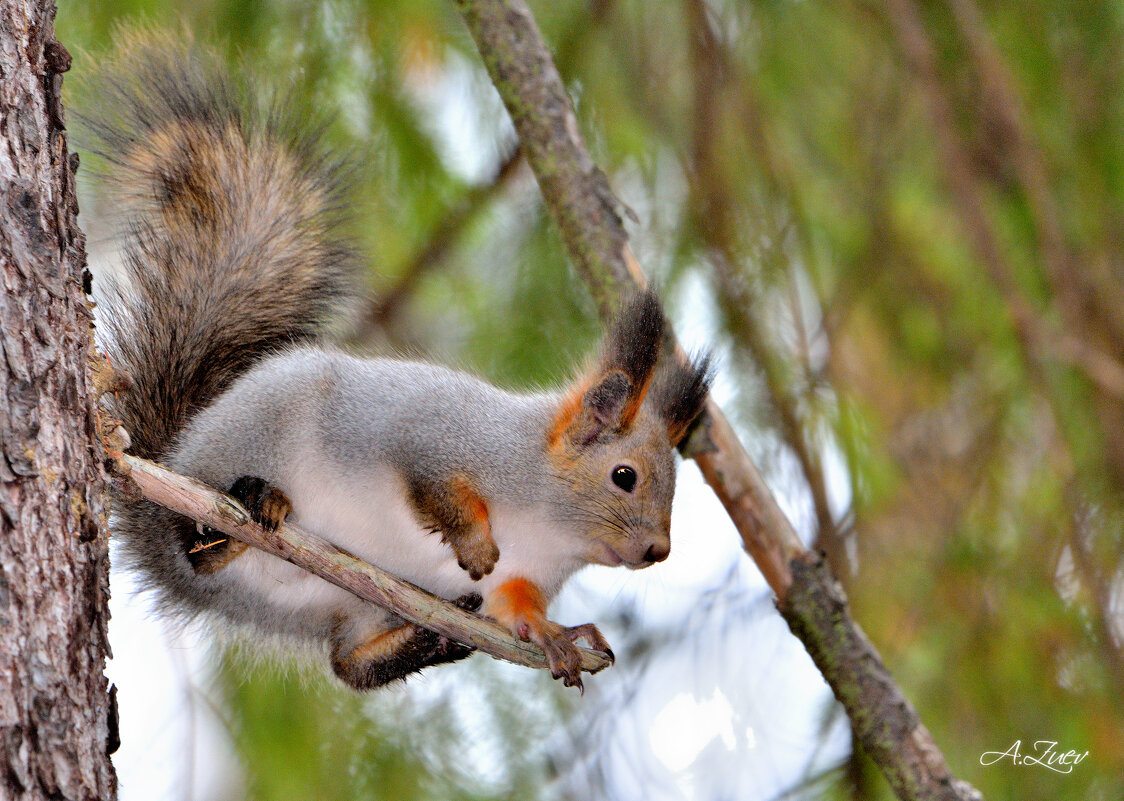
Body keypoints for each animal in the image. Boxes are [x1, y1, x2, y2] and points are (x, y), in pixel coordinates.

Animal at [85, 37, 710, 692]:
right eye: (624, 476)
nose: (657, 551)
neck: (546, 520)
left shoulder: (525, 576)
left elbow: (515, 605)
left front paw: (554, 635)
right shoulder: (427, 433)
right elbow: (435, 486)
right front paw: (475, 543)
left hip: (355, 604)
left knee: (347, 665)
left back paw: (431, 641)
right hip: (245, 441)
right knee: (194, 546)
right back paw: (236, 517)